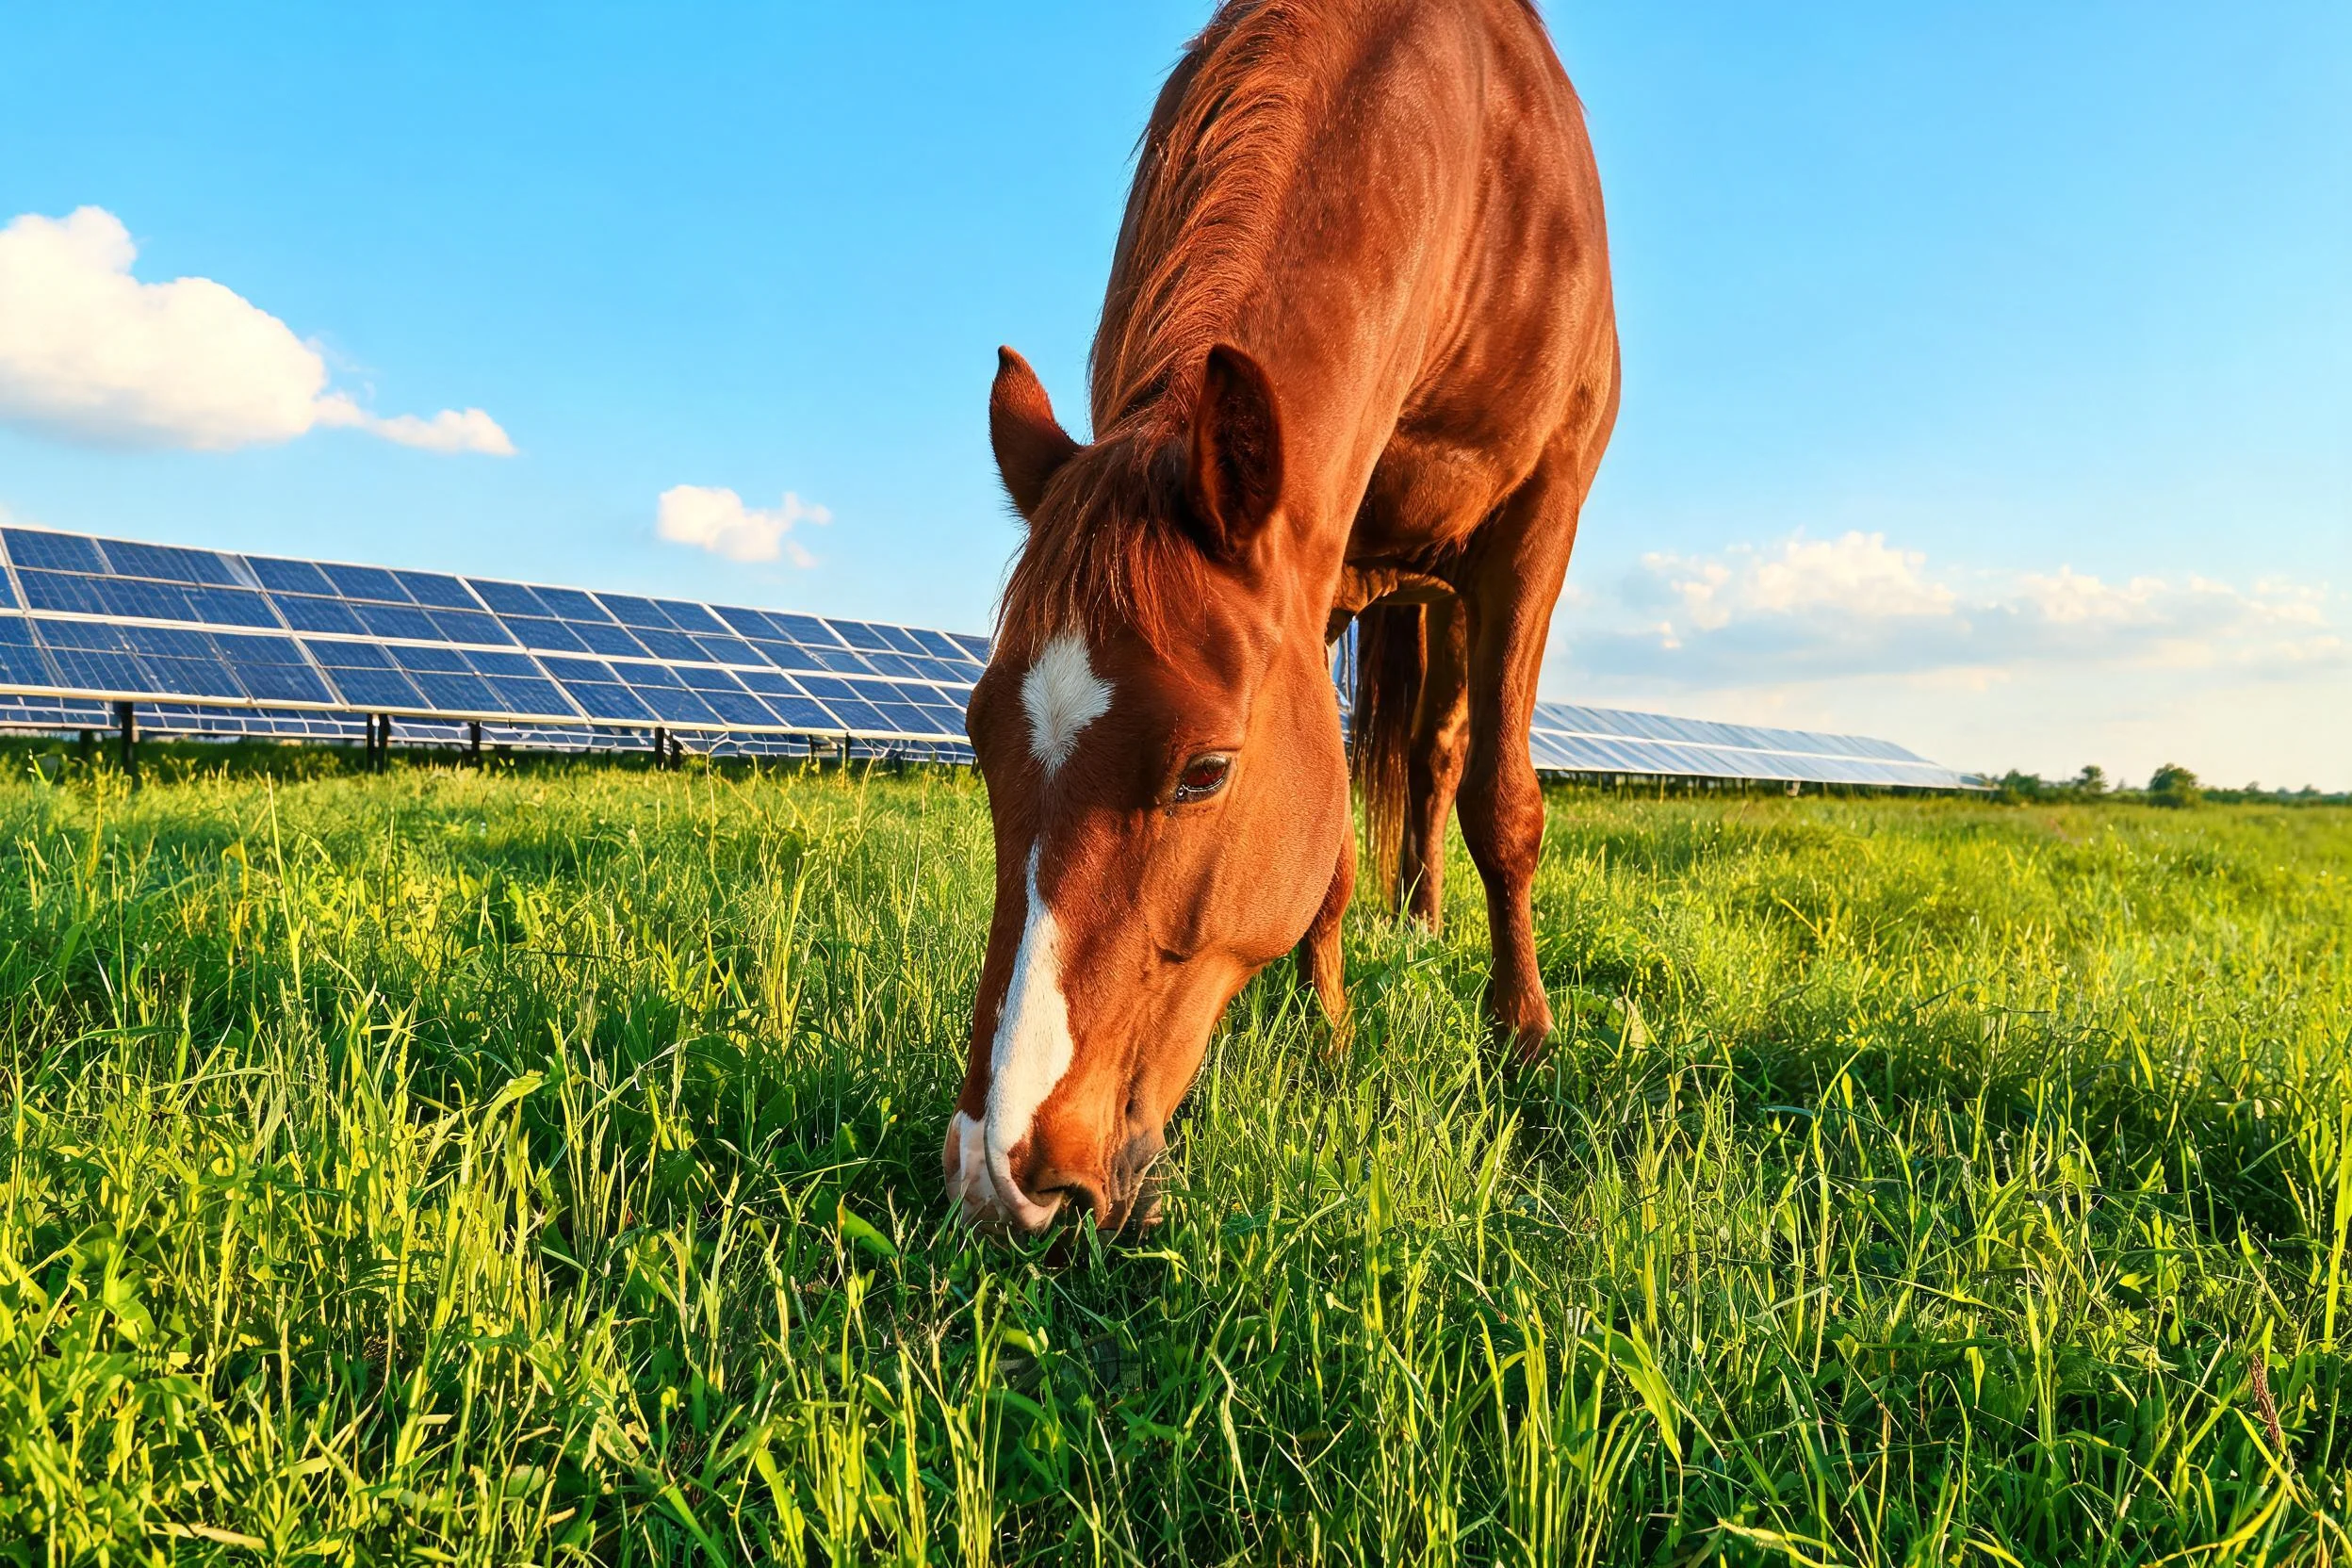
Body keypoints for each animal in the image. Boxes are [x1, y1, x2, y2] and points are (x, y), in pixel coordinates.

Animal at [948, 0, 1620, 1233]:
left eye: (1205, 772)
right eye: (978, 741)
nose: (1001, 1170)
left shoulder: (1538, 519)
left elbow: (1503, 802)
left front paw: (1524, 1041)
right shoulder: (1317, 569)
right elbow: (1335, 841)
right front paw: (1329, 1032)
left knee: (1446, 751)